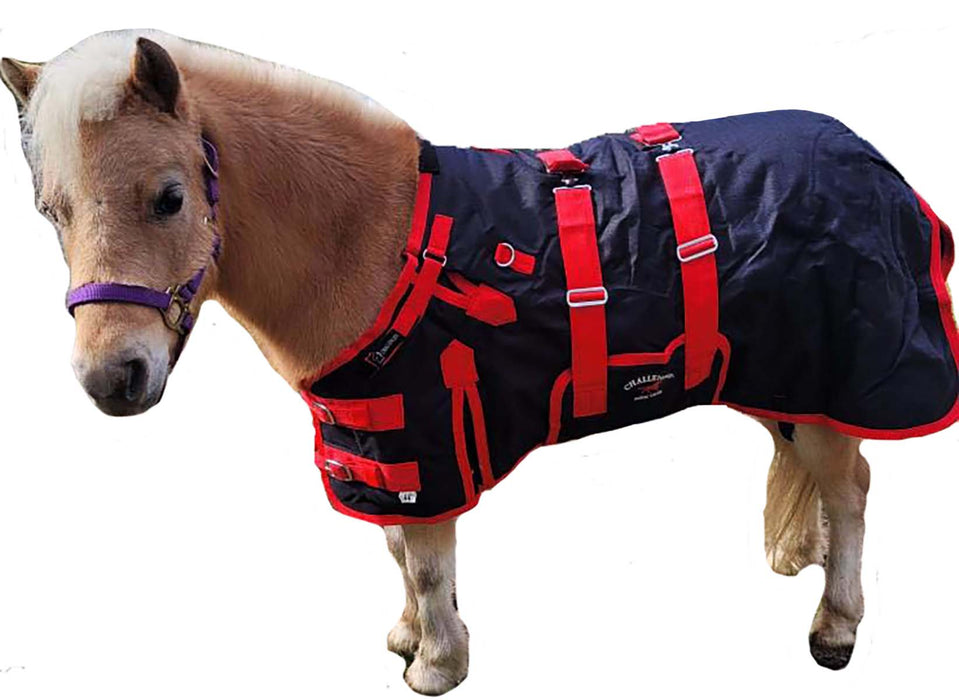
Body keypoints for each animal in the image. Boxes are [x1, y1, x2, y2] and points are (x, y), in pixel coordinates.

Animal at [1, 30, 957, 696]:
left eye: (169, 197)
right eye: (51, 211)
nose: (111, 378)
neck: (375, 243)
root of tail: (874, 162)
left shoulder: (425, 437)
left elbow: (425, 559)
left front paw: (436, 665)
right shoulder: (381, 447)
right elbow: (396, 550)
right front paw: (408, 635)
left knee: (850, 485)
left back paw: (835, 627)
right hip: (781, 377)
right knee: (818, 467)